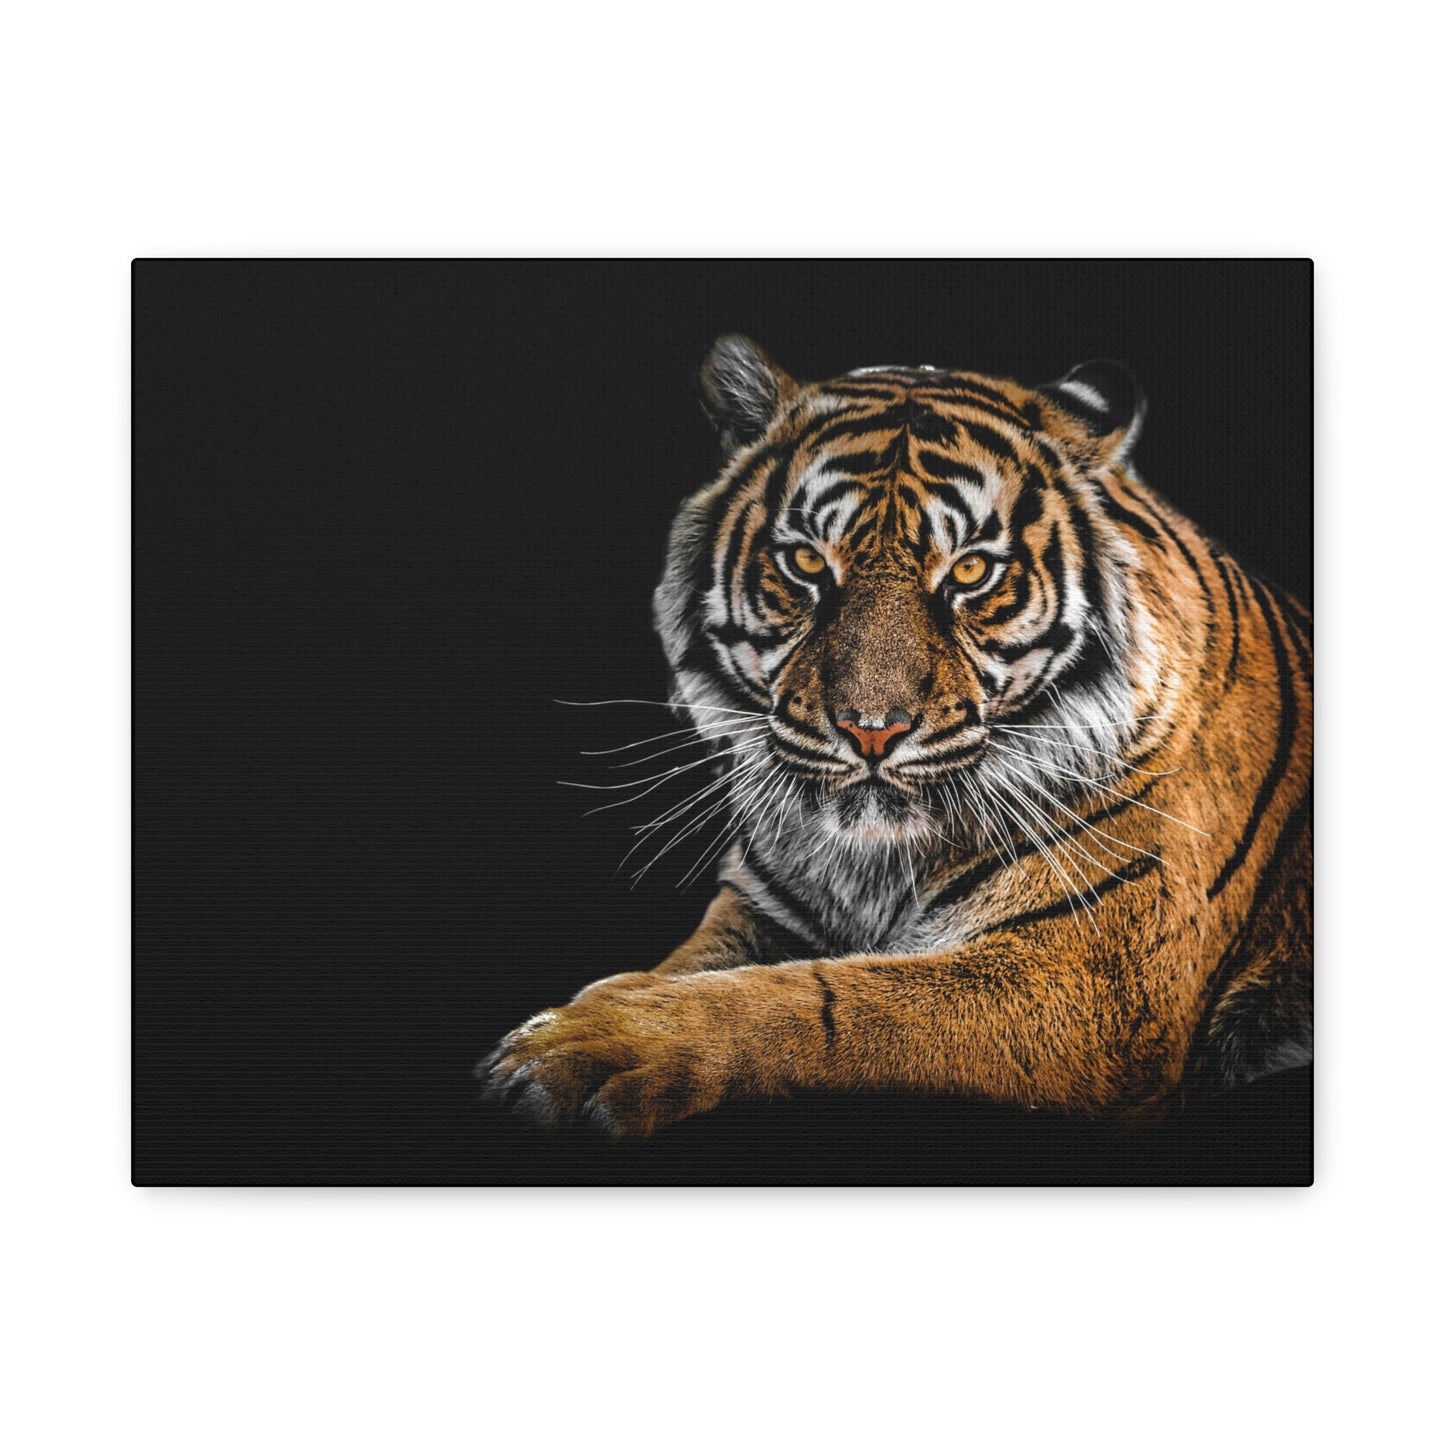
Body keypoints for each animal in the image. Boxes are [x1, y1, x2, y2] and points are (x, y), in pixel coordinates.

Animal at [480, 335, 1313, 1140]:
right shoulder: (759, 908)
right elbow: (694, 964)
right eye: (806, 561)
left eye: (971, 571)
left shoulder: (1092, 981)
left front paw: (586, 1043)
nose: (869, 731)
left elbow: (826, 997)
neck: (875, 863)